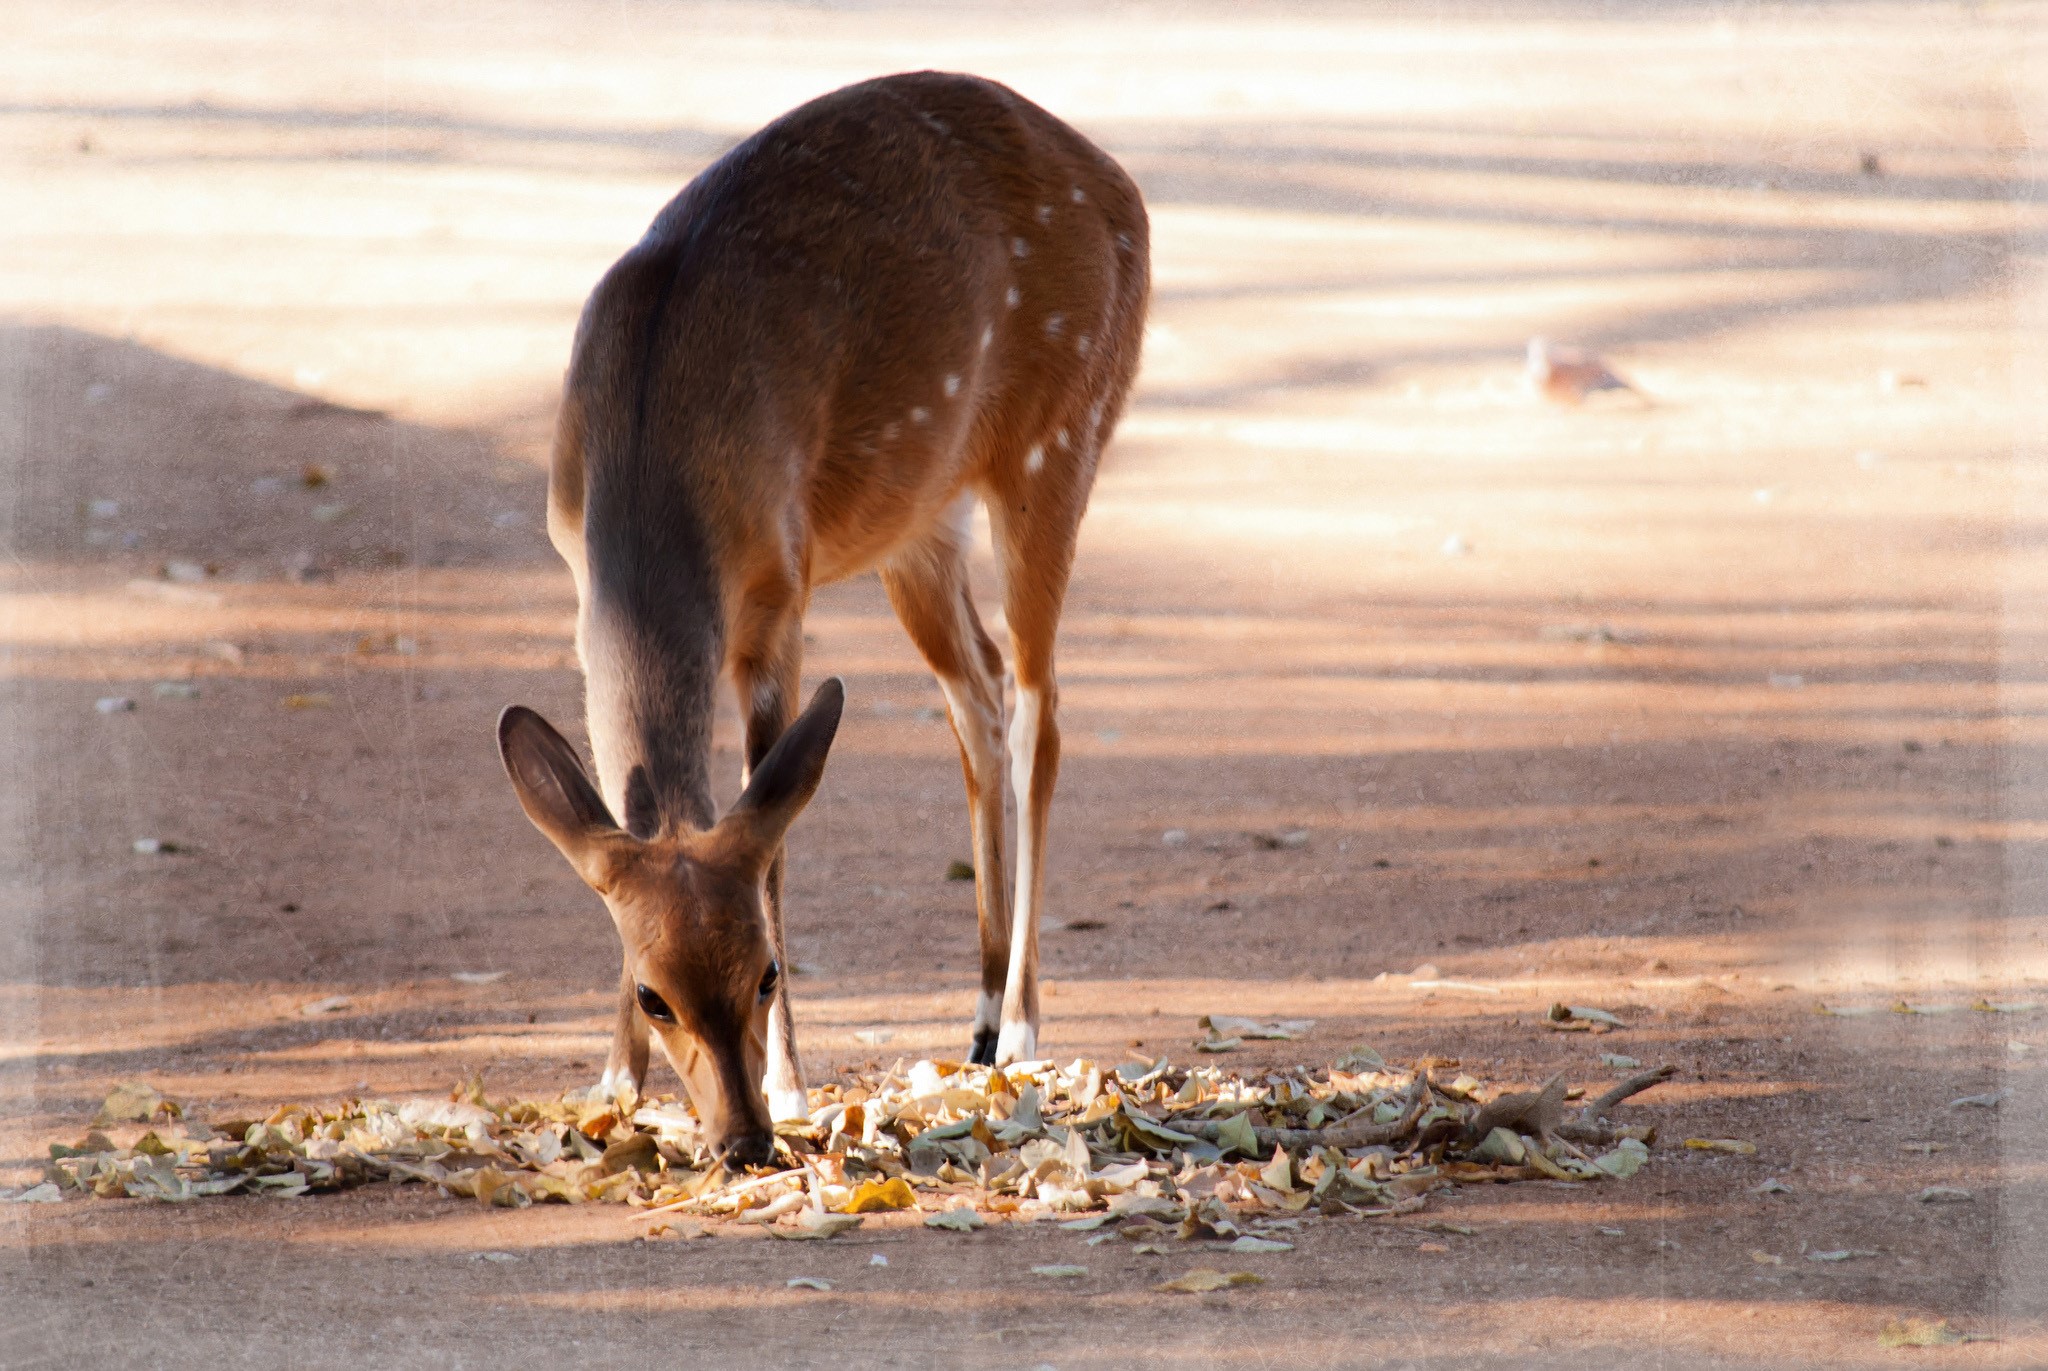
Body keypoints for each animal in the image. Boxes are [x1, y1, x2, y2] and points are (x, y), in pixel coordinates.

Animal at [494, 71, 1149, 1167]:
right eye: (654, 994)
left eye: (764, 972)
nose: (743, 1140)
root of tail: (1118, 186)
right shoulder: (570, 564)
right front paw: (614, 1082)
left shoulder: (779, 589)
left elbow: (773, 833)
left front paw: (794, 1084)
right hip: (917, 521)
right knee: (975, 693)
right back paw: (976, 1018)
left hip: (1058, 437)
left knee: (1036, 710)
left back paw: (1020, 1025)